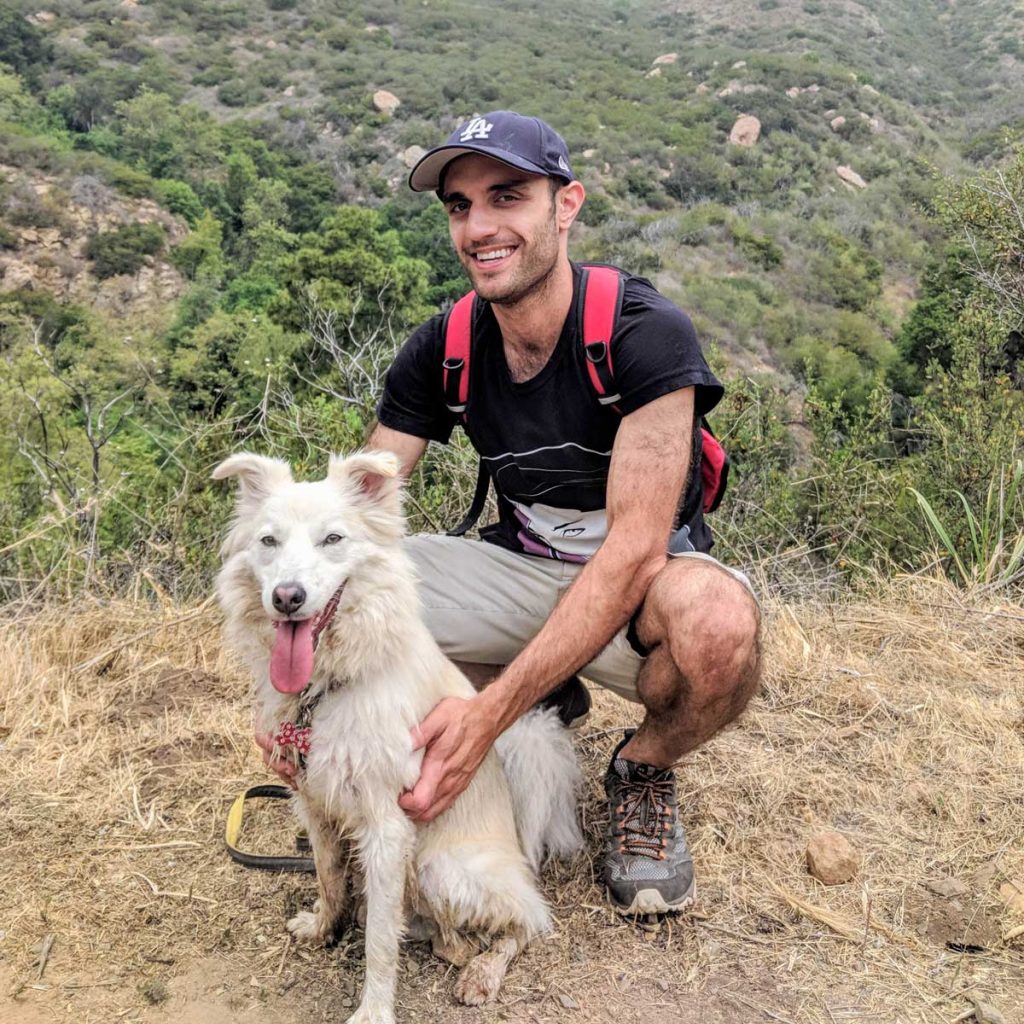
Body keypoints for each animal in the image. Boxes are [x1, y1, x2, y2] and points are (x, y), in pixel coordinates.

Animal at [214, 452, 585, 1019]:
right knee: (454, 935)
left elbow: (380, 945)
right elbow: (328, 876)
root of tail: (520, 852)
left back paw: (480, 971)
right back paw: (449, 942)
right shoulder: (315, 803)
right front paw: (324, 927)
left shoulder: (387, 829)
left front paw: (372, 1011)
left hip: (440, 865)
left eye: (333, 539)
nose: (287, 598)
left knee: (524, 923)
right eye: (268, 541)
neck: (327, 687)